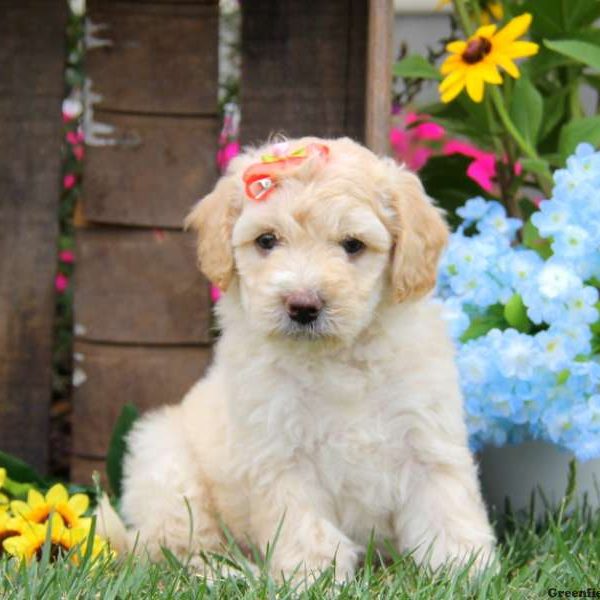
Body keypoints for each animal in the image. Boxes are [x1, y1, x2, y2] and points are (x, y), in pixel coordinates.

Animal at [118, 137, 496, 580]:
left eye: (353, 244)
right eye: (266, 240)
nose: (302, 305)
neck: (338, 358)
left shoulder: (427, 437)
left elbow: (447, 510)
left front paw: (467, 570)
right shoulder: (282, 456)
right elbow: (305, 527)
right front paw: (314, 577)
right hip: (166, 468)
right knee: (180, 547)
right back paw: (226, 573)